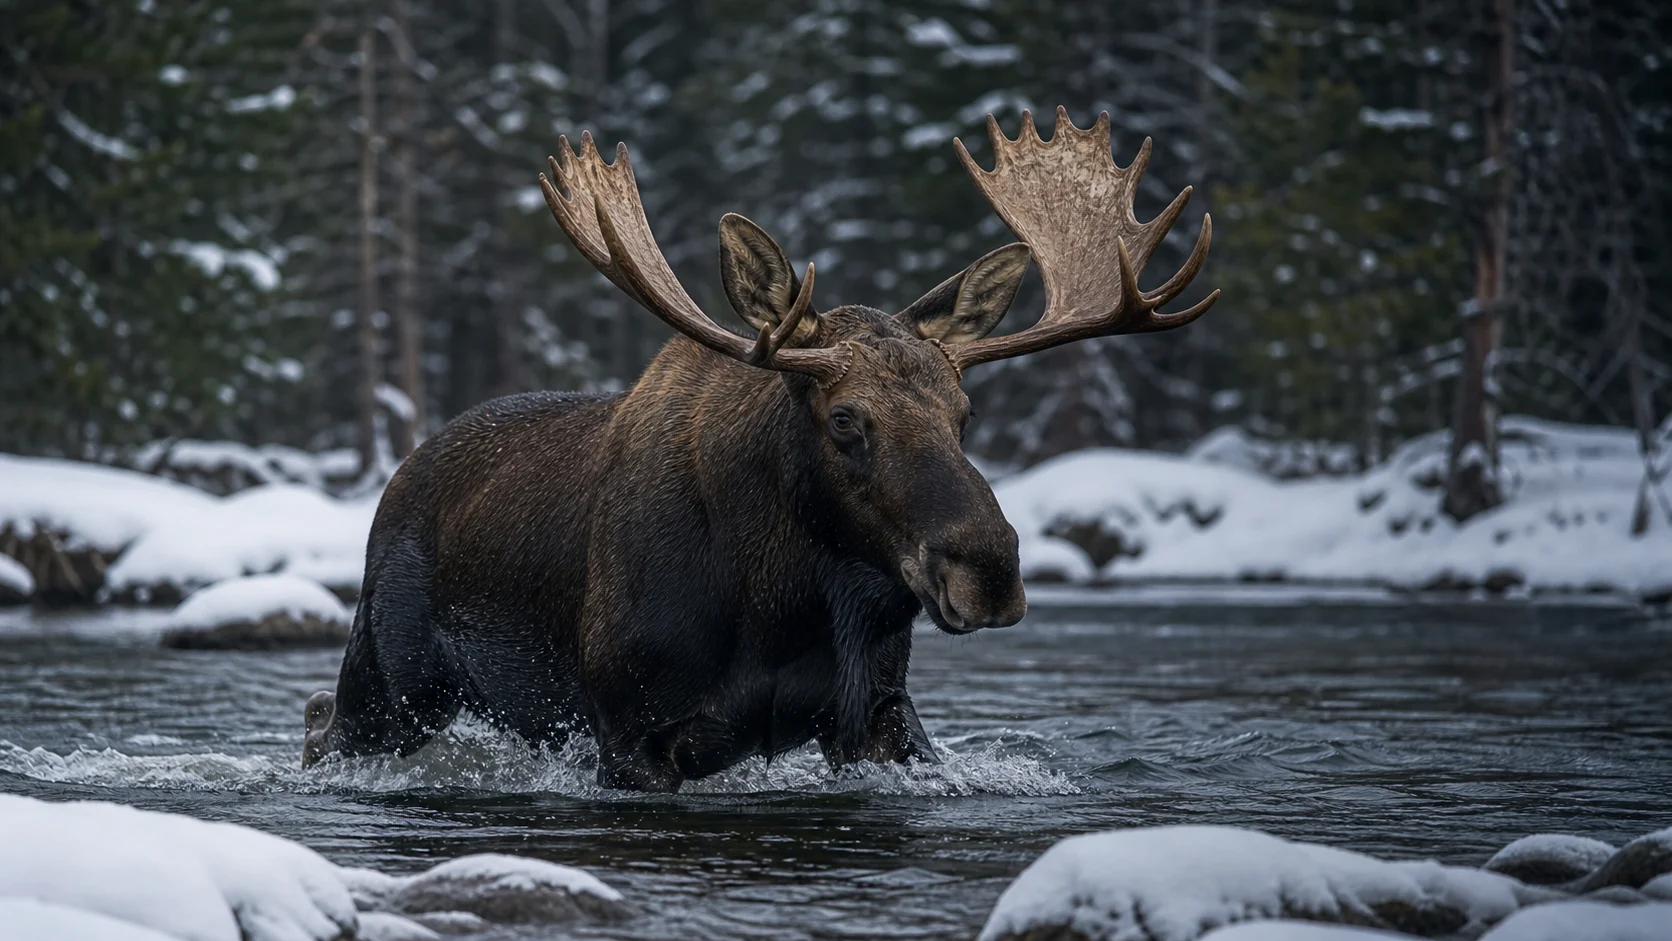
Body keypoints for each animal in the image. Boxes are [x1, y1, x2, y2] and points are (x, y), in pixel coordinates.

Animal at [301, 108, 1217, 791]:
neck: (781, 606)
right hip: (388, 680)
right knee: (317, 724)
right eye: (845, 418)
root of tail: (401, 473)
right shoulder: (629, 731)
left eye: (966, 411)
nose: (988, 568)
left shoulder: (879, 713)